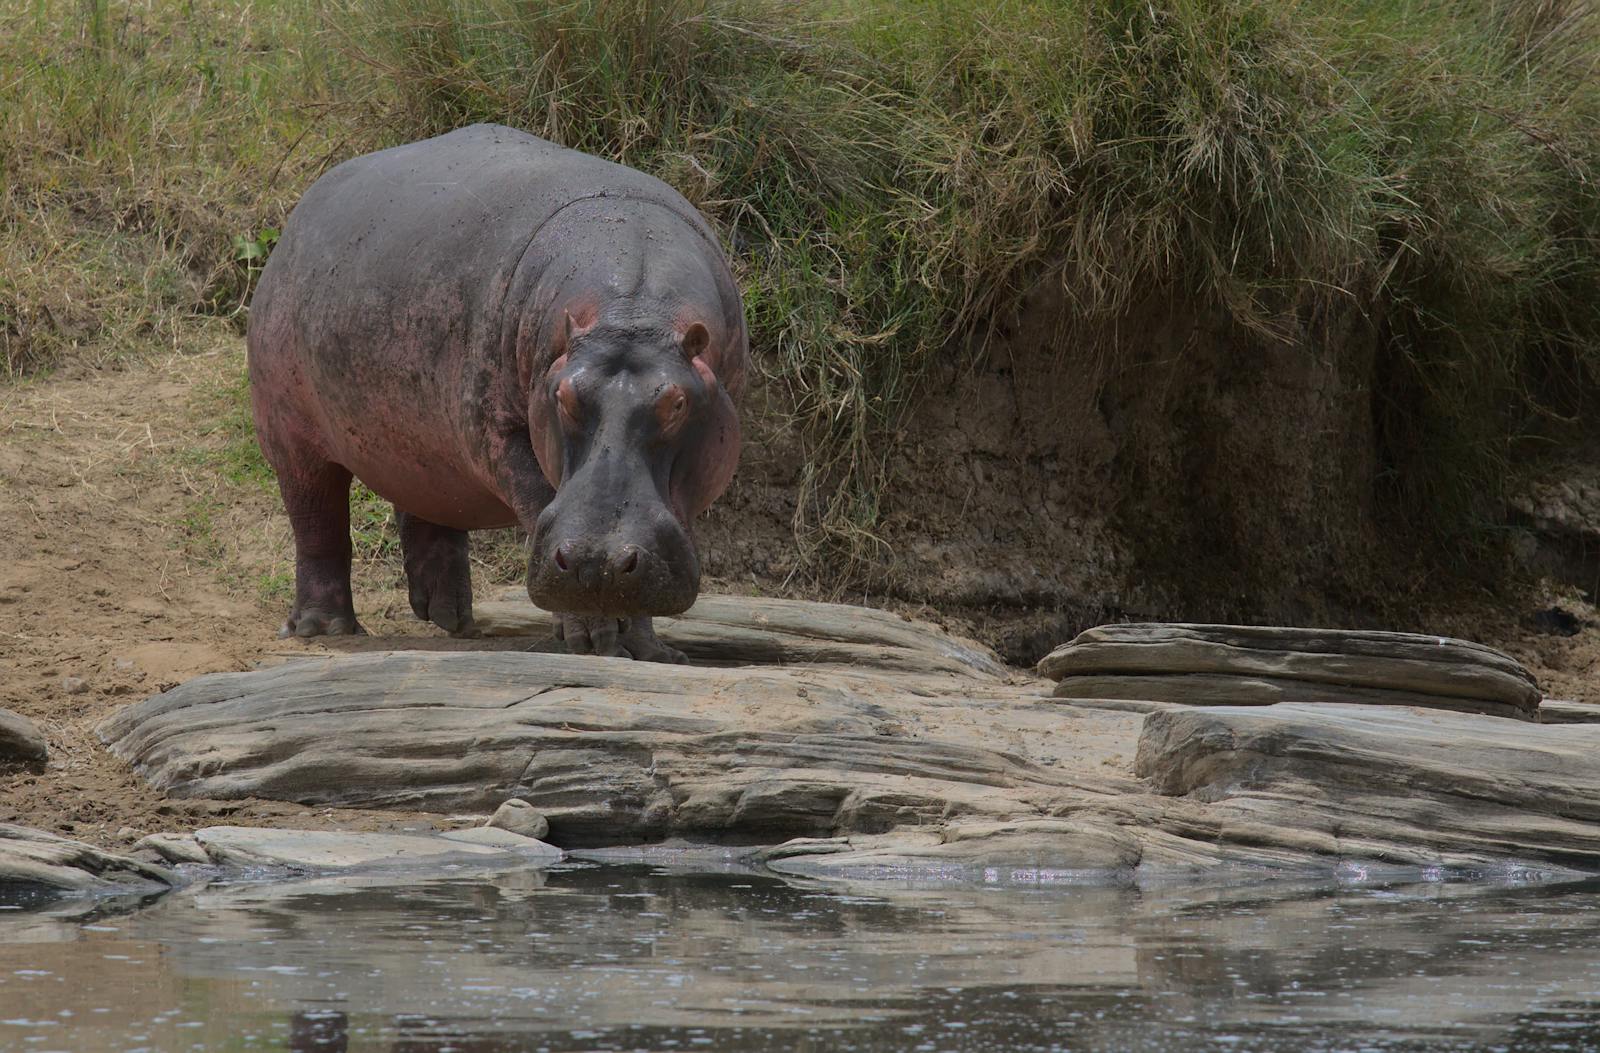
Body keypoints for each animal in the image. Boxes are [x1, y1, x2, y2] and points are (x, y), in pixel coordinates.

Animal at [246, 124, 748, 662]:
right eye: (562, 397)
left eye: (678, 403)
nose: (596, 563)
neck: (632, 310)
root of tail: (299, 213)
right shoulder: (497, 433)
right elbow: (536, 498)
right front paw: (595, 640)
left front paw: (650, 651)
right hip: (291, 436)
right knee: (317, 522)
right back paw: (324, 628)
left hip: (421, 446)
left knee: (427, 505)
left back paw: (452, 618)